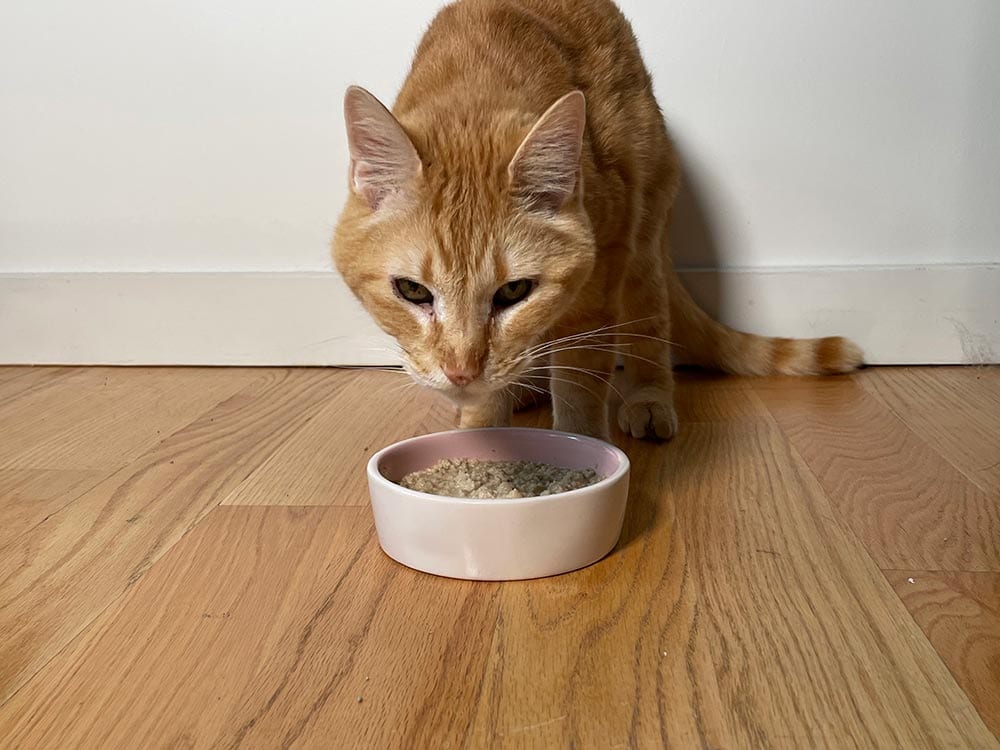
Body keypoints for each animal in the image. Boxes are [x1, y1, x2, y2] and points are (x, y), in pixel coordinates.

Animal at [334, 0, 860, 440]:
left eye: (513, 291)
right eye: (412, 291)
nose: (462, 372)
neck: (476, 95)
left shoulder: (597, 283)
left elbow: (580, 382)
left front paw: (581, 448)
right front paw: (480, 433)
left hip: (642, 244)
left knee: (649, 330)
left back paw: (649, 398)